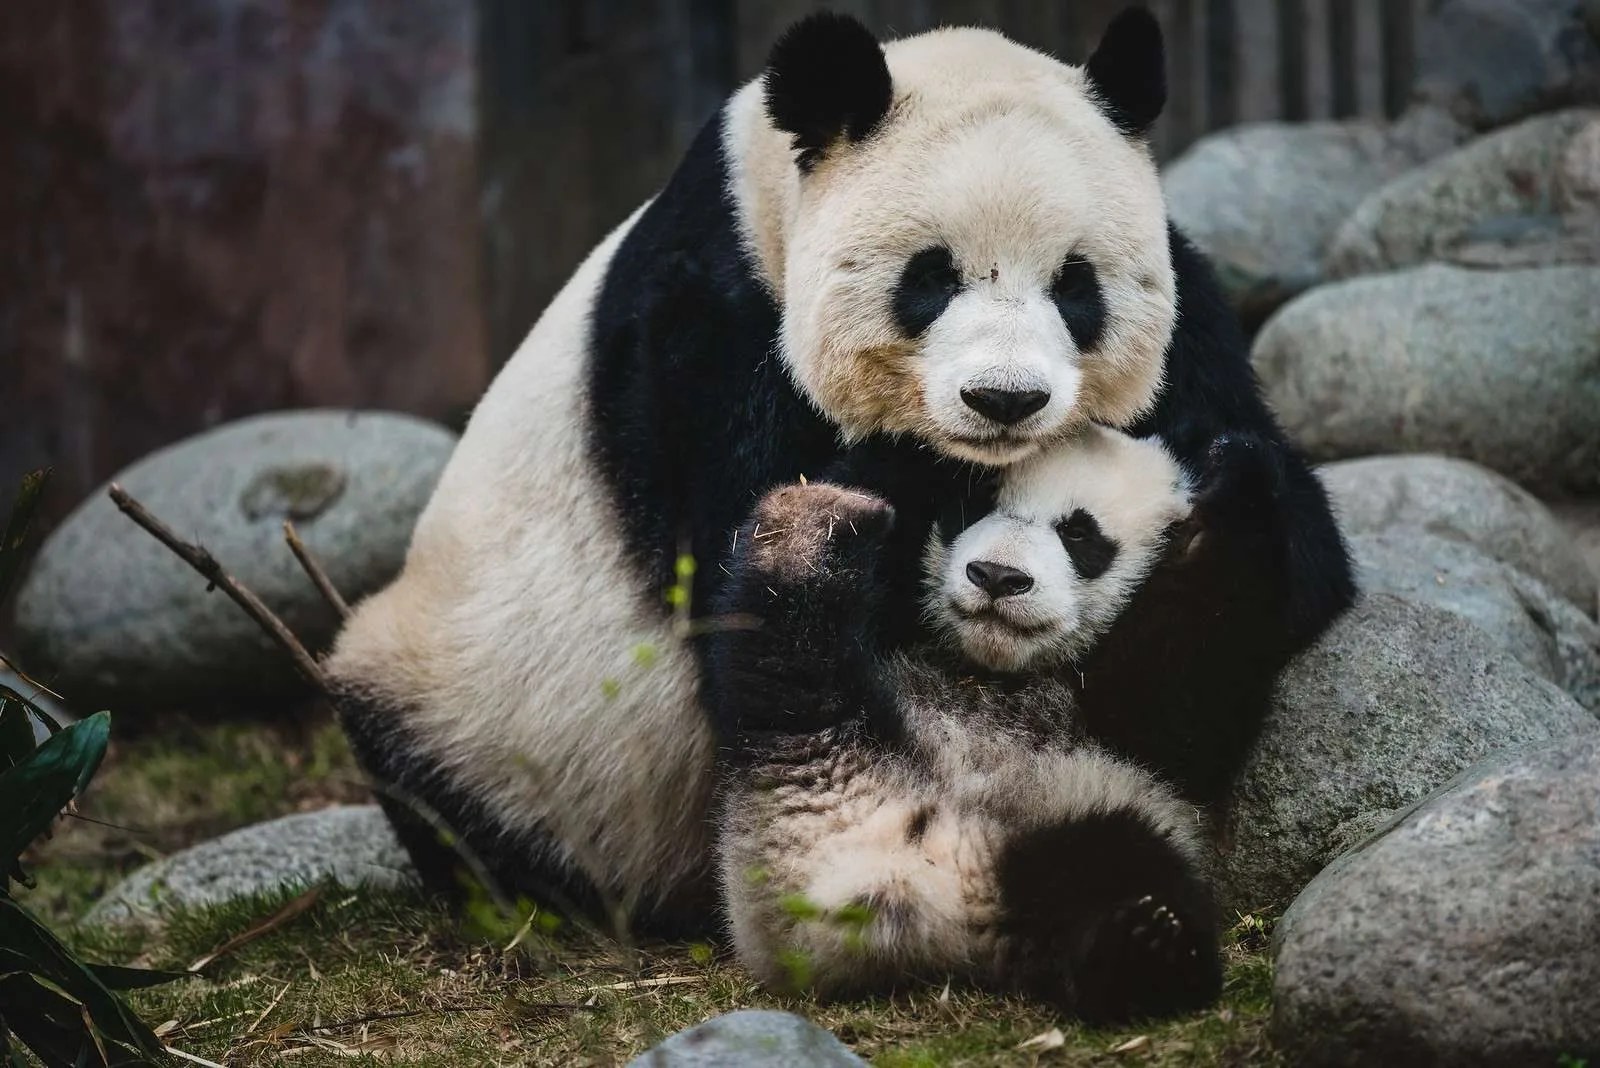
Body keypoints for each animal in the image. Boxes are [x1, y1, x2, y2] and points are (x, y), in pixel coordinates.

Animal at [322, 8, 1356, 939]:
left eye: (1076, 286)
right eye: (930, 277)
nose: (1005, 399)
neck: (771, 197)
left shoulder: (1191, 326)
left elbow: (1294, 556)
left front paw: (1220, 511)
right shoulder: (706, 334)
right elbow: (755, 591)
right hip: (478, 705)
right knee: (446, 787)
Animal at [708, 425, 1221, 1024]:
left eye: (1077, 533)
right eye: (974, 505)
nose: (997, 576)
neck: (990, 667)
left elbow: (1181, 694)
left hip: (1074, 816)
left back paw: (1145, 948)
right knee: (788, 653)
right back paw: (813, 529)